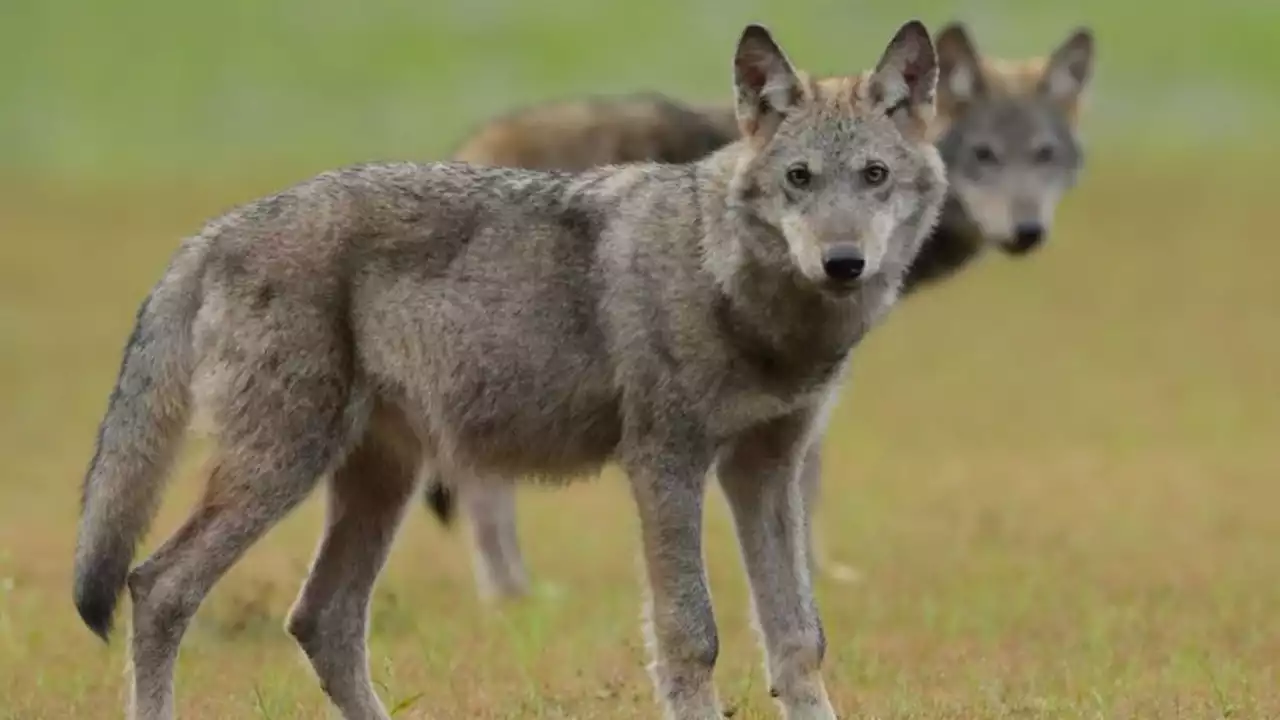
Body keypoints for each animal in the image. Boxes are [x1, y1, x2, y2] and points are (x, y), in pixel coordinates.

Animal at [72, 18, 952, 717]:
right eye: (799, 179)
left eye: (873, 176)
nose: (844, 263)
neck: (739, 291)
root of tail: (214, 232)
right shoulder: (666, 465)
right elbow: (691, 635)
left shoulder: (766, 469)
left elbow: (799, 639)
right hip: (282, 469)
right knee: (158, 586)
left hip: (377, 483)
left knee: (322, 620)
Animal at [424, 19, 1095, 599]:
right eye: (984, 155)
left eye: (1044, 155)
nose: (1027, 232)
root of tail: (472, 142)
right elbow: (809, 479)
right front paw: (820, 573)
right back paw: (512, 595)